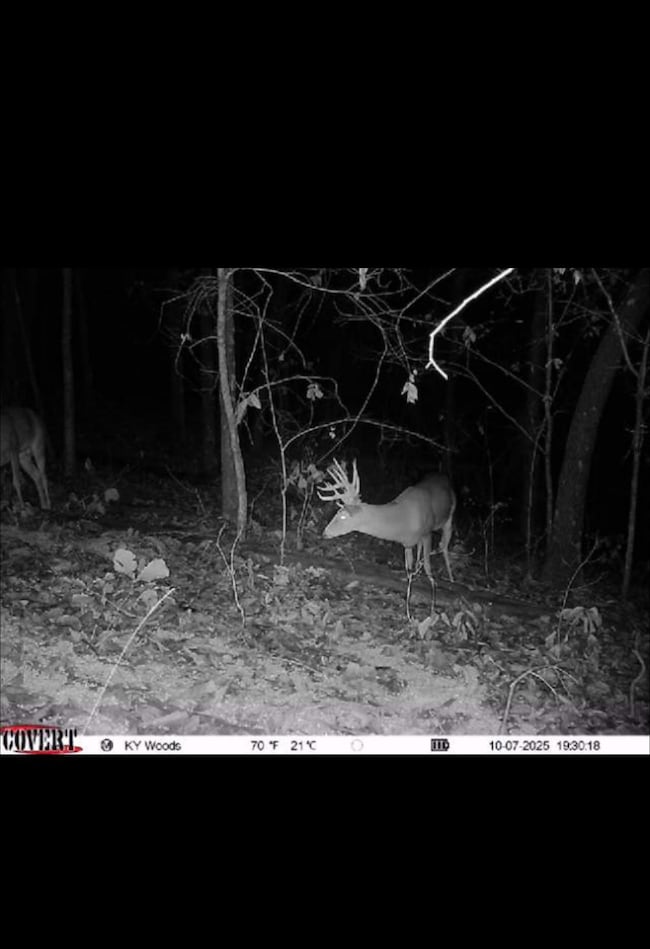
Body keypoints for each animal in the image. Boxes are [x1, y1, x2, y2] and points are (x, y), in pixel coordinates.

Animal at [318, 458, 455, 617]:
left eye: (343, 516)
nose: (324, 533)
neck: (403, 520)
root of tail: (444, 476)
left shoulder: (427, 533)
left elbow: (428, 568)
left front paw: (432, 606)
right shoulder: (407, 544)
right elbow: (408, 571)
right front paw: (407, 608)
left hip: (449, 517)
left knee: (444, 546)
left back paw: (451, 579)